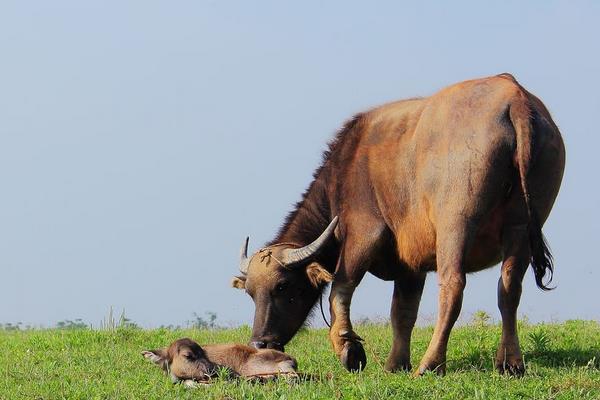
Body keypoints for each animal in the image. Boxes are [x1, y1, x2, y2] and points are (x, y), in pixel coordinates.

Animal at [230, 74, 564, 376]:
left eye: (283, 286)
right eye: (250, 293)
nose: (260, 342)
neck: (344, 171)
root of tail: (515, 99)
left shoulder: (363, 233)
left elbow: (341, 287)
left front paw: (349, 349)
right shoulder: (410, 265)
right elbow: (402, 312)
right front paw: (396, 364)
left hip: (455, 225)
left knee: (453, 286)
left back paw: (431, 364)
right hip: (521, 226)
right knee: (509, 288)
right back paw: (510, 363)